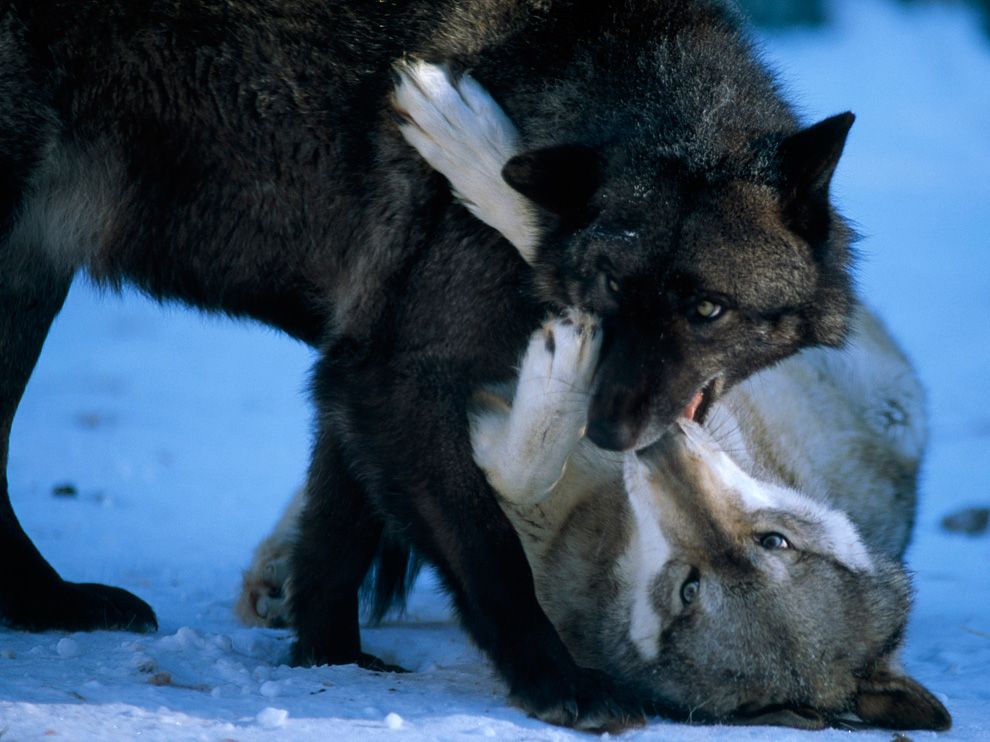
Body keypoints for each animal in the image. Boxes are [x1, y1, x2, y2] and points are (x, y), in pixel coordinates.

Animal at [1, 0, 860, 732]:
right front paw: (559, 683)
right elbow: (490, 553)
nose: (612, 434)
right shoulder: (394, 380)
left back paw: (45, 603)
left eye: (707, 310)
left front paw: (329, 658)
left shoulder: (358, 375)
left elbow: (335, 538)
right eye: (610, 287)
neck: (562, 79)